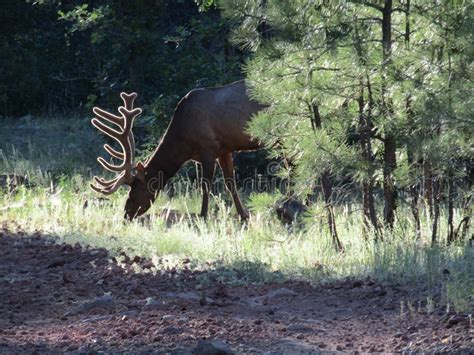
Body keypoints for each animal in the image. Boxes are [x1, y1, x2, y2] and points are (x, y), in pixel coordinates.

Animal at [91, 80, 262, 222]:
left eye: (133, 192)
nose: (126, 215)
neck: (184, 145)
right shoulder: (224, 150)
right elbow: (230, 182)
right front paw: (244, 215)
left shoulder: (208, 147)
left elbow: (205, 185)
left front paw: (203, 216)